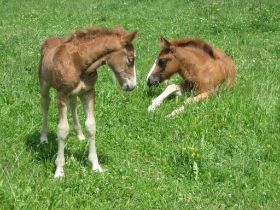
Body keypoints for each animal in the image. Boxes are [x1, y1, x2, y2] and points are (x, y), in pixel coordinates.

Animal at [38, 25, 138, 177]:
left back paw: (79, 135)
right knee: (45, 104)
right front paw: (59, 170)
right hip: (44, 84)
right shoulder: (62, 94)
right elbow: (62, 130)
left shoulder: (89, 92)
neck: (78, 63)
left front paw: (96, 165)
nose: (132, 86)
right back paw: (43, 137)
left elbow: (91, 126)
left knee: (73, 105)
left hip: (76, 94)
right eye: (131, 59)